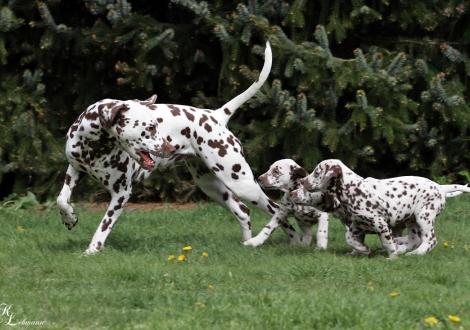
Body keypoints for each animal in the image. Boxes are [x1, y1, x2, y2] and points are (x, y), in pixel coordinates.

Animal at [57, 42, 302, 255]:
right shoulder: (75, 170)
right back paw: (248, 243)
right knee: (243, 212)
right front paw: (70, 218)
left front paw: (92, 250)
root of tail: (216, 115)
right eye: (149, 127)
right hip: (212, 187)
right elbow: (62, 199)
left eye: (155, 124)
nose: (169, 148)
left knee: (276, 210)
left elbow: (103, 226)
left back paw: (295, 240)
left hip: (242, 184)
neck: (94, 147)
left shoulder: (121, 193)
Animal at [290, 159, 470, 260]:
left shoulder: (380, 223)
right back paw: (404, 249)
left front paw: (392, 256)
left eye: (317, 172)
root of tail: (440, 187)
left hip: (423, 216)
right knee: (414, 239)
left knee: (430, 240)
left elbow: (387, 241)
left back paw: (415, 253)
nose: (303, 181)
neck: (353, 190)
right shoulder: (358, 225)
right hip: (412, 220)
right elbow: (350, 238)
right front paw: (363, 250)